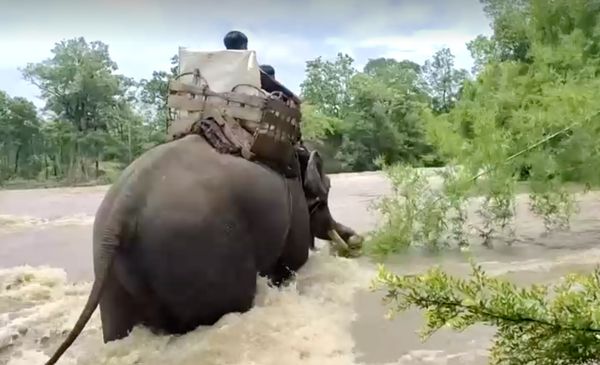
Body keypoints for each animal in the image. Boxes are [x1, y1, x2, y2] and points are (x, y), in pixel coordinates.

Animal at [44, 132, 364, 362]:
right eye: (327, 190)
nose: (356, 241)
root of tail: (124, 205)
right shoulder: (293, 205)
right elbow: (293, 261)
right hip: (204, 250)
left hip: (110, 271)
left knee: (117, 329)